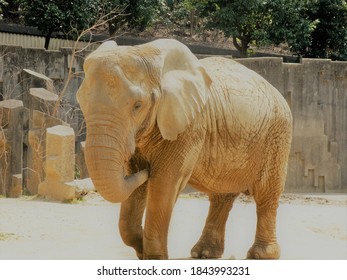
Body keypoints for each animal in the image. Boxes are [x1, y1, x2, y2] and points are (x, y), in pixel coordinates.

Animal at [77, 39, 294, 260]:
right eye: (81, 102)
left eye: (137, 106)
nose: (147, 169)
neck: (149, 57)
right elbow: (134, 186)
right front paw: (141, 248)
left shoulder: (190, 126)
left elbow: (165, 182)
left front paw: (153, 257)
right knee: (221, 196)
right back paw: (204, 253)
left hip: (277, 136)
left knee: (266, 194)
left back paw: (261, 255)